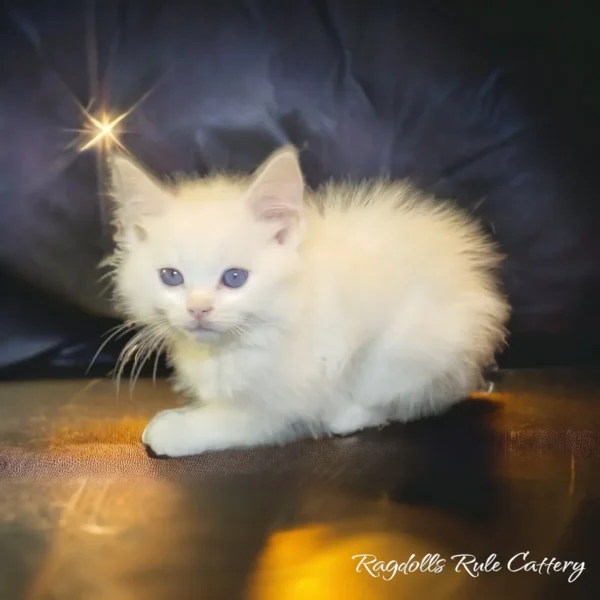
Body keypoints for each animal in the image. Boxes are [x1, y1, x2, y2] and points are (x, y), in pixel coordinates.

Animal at [105, 148, 508, 458]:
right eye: (171, 276)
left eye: (234, 277)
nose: (198, 309)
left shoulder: (291, 399)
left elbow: (241, 419)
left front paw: (176, 429)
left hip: (413, 345)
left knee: (414, 396)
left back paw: (348, 416)